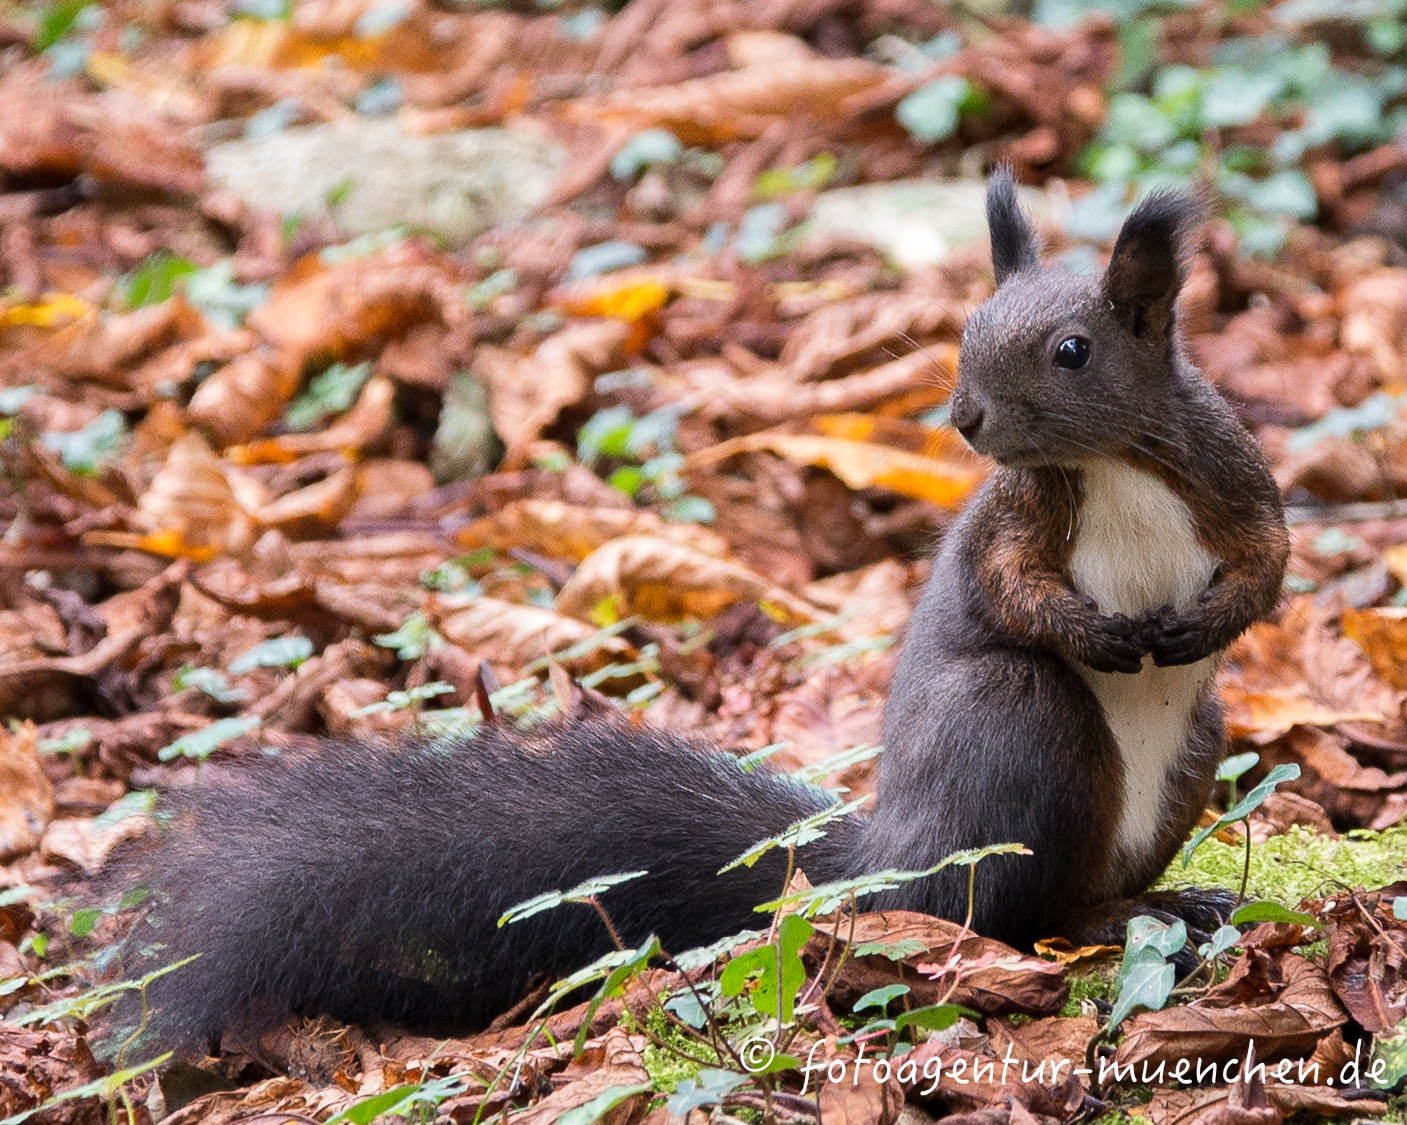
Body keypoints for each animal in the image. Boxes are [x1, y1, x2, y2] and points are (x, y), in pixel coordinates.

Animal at [112, 170, 1289, 1053]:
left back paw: (1183, 901)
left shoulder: (1229, 478)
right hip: (1010, 725)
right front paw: (1099, 630)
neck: (1110, 463)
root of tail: (888, 853)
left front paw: (1204, 625)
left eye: (1073, 351)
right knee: (1008, 910)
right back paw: (1123, 913)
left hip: (1193, 744)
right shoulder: (1016, 519)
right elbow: (1012, 591)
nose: (965, 417)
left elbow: (1268, 567)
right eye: (964, 329)